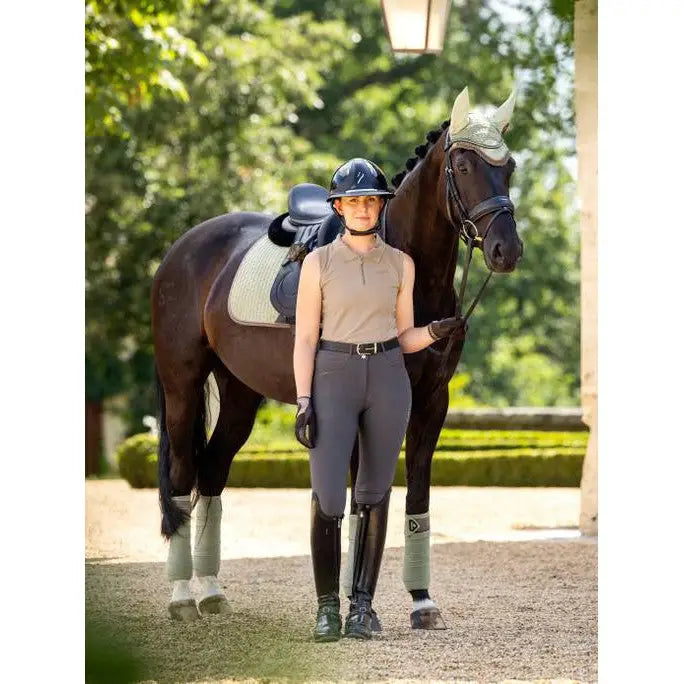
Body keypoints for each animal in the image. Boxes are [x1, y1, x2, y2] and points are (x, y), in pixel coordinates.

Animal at [152, 85, 520, 624]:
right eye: (465, 165)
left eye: (508, 165)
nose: (505, 249)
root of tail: (181, 249)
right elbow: (358, 499)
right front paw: (353, 602)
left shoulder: (432, 401)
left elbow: (416, 495)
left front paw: (421, 600)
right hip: (182, 386)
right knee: (182, 475)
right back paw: (181, 597)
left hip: (239, 394)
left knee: (212, 472)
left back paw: (212, 591)